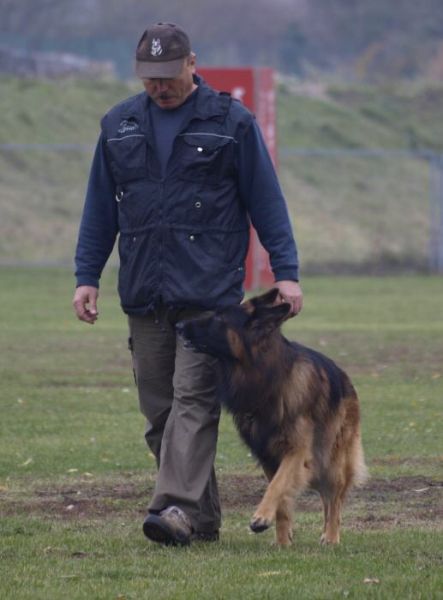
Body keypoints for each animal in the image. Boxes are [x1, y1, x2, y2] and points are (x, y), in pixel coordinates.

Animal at [177, 288, 367, 546]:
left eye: (218, 318)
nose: (178, 324)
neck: (266, 379)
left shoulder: (296, 452)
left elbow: (277, 486)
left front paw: (261, 517)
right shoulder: (267, 455)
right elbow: (282, 500)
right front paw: (283, 541)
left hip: (332, 459)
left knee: (334, 499)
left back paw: (331, 536)